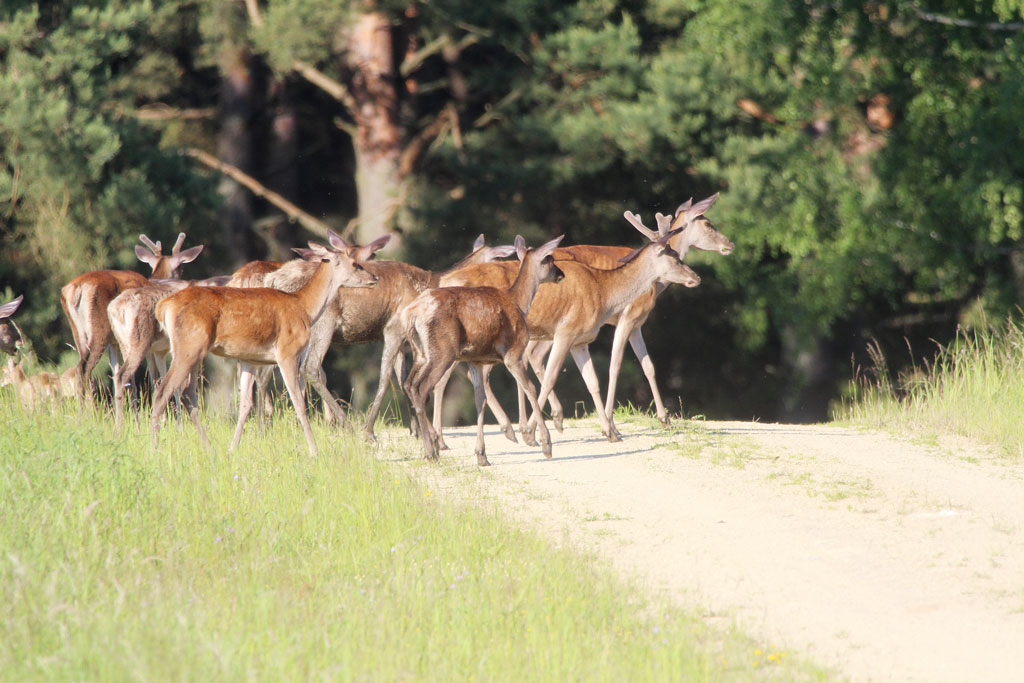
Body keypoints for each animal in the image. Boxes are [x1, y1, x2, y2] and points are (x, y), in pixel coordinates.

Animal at [60, 233, 205, 401]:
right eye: (181, 267)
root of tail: (75, 289)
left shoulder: (116, 343)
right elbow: (154, 378)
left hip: (79, 334)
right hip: (100, 331)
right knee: (84, 368)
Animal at [149, 245, 378, 458]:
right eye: (355, 264)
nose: (374, 278)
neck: (304, 307)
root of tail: (163, 307)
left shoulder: (248, 359)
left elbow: (245, 404)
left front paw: (232, 449)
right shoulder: (287, 351)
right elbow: (298, 402)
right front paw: (314, 451)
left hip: (195, 350)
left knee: (187, 393)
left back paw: (209, 449)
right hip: (190, 346)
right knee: (163, 391)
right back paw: (155, 447)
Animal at [395, 235, 565, 464]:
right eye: (550, 259)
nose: (561, 274)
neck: (519, 303)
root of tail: (412, 314)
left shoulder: (475, 360)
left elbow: (479, 400)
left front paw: (481, 455)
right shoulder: (513, 352)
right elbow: (530, 388)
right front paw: (546, 444)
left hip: (421, 353)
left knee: (409, 384)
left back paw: (431, 447)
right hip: (442, 351)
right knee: (421, 388)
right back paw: (431, 451)